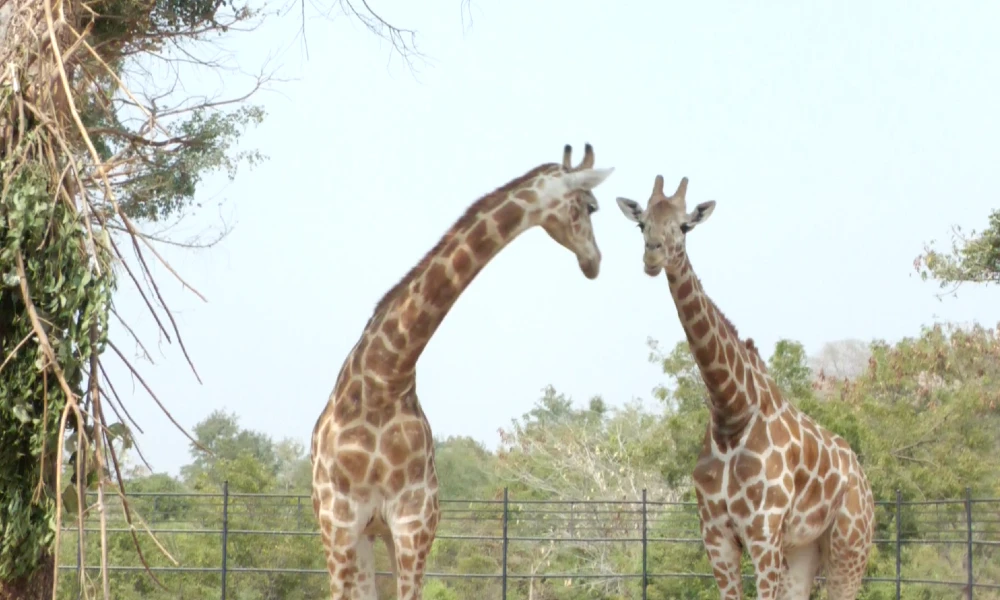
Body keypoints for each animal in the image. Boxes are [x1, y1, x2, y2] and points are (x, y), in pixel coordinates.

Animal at [312, 145, 612, 600]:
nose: (594, 260)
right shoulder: (341, 524)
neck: (385, 379)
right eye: (590, 205)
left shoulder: (414, 526)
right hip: (350, 534)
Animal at [612, 175, 872, 600]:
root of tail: (862, 476)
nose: (652, 257)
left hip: (850, 544)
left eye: (684, 226)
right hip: (804, 549)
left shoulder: (764, 533)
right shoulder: (716, 536)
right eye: (642, 224)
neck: (732, 411)